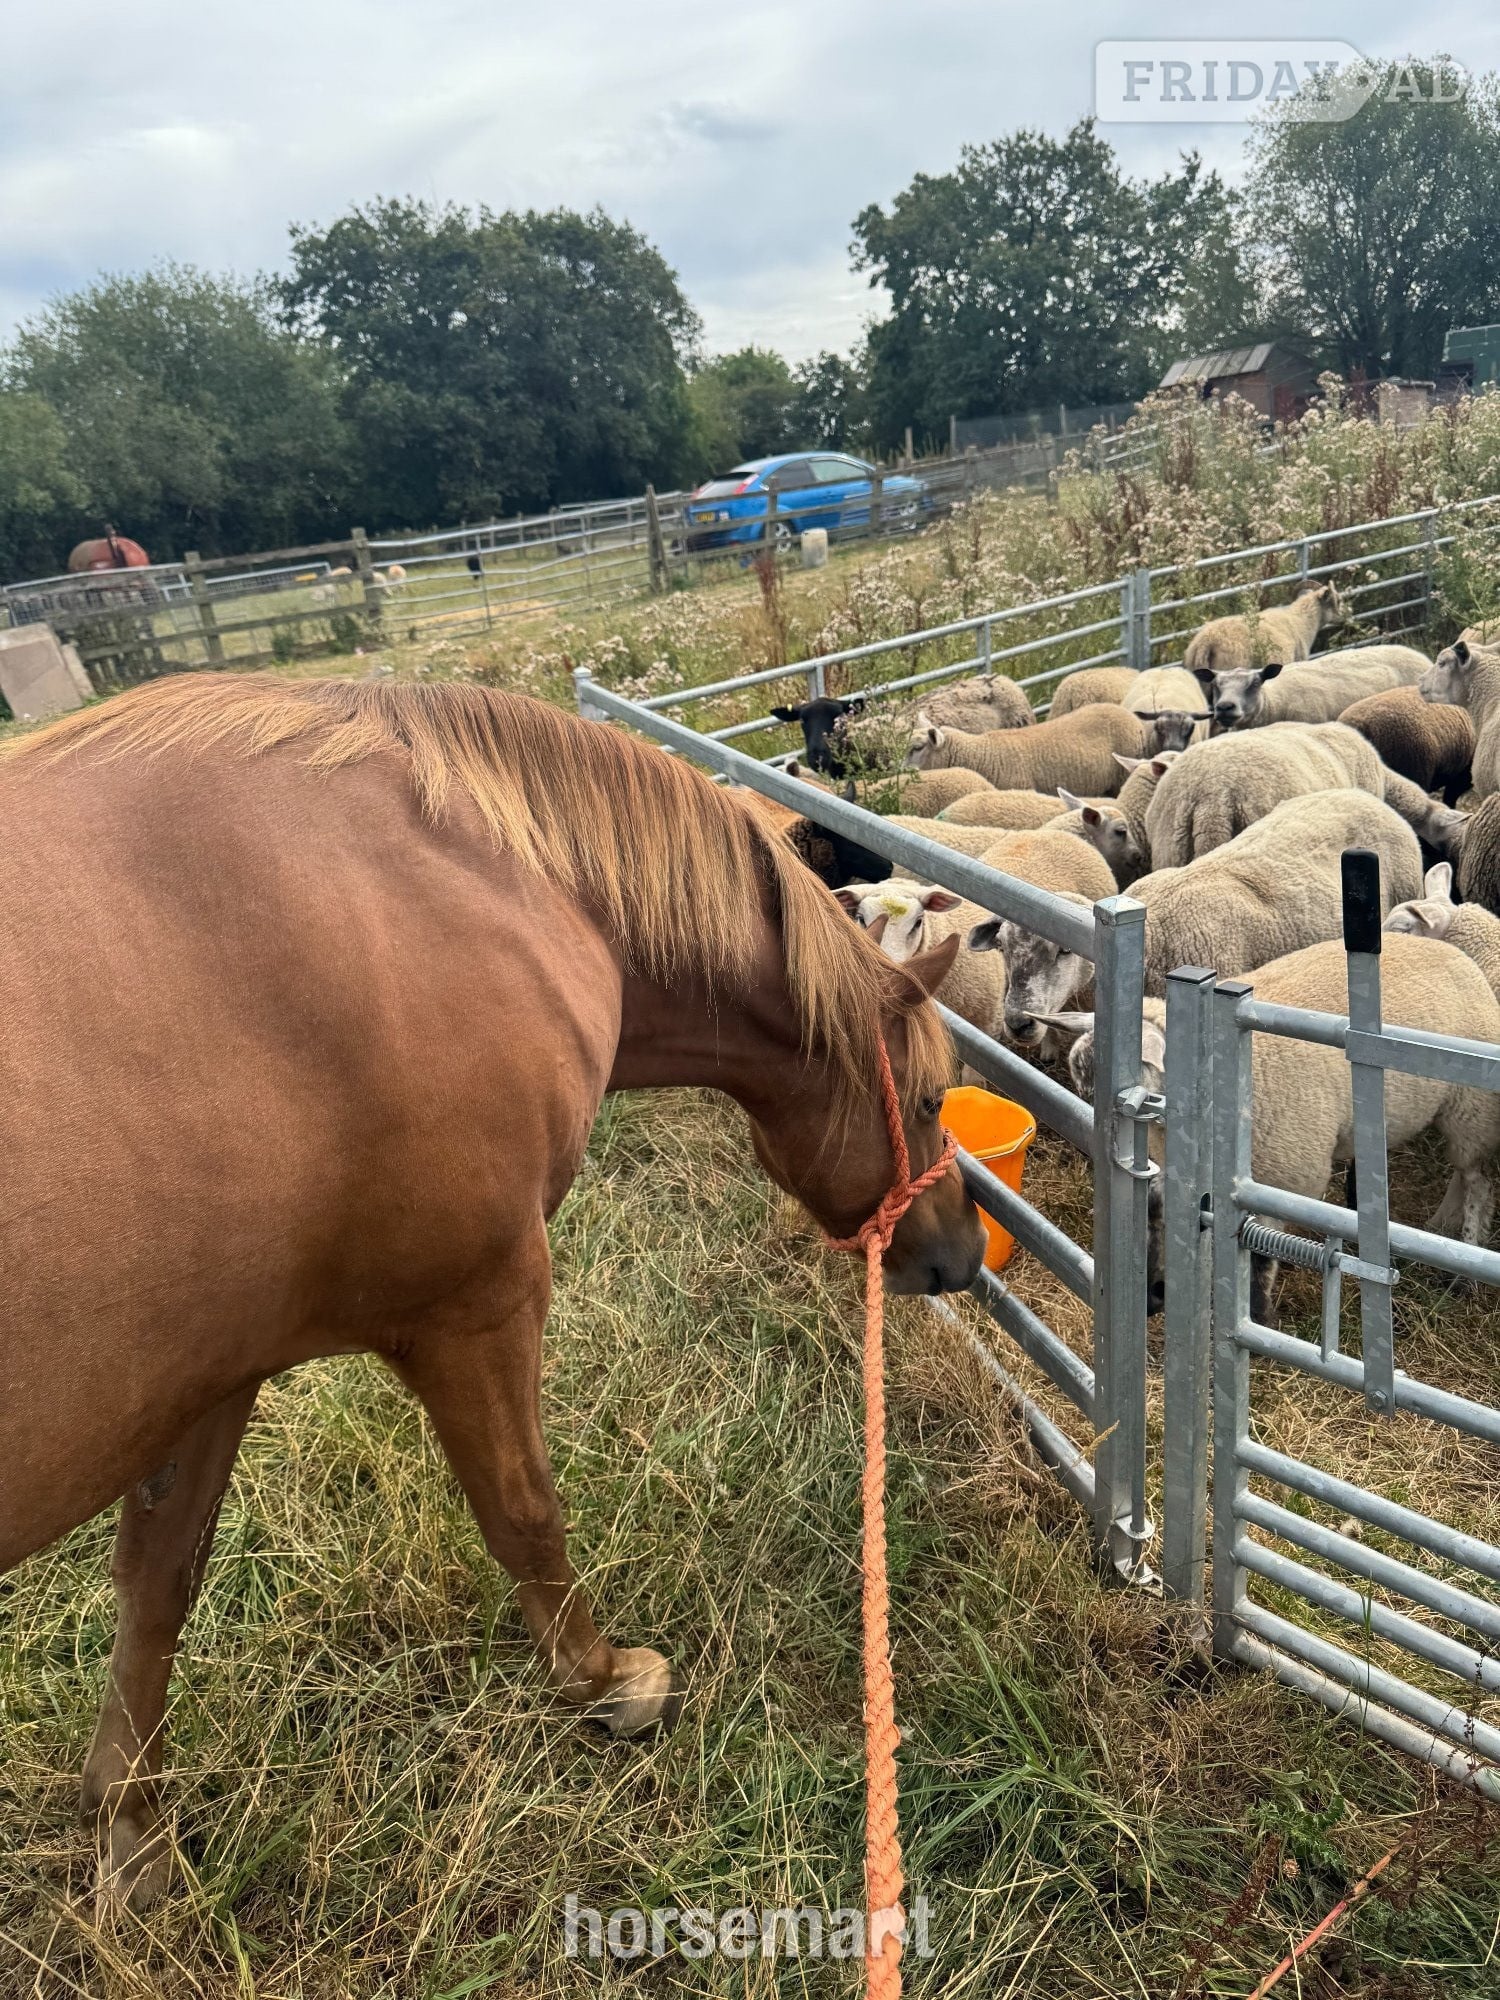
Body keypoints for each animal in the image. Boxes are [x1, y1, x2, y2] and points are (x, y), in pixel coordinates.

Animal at [0, 673, 985, 1913]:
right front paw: (605, 1682)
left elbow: (156, 1581)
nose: (965, 1252)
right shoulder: (478, 1302)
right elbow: (524, 1511)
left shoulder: (211, 1371)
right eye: (936, 1097)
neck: (487, 877)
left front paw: (130, 1828)